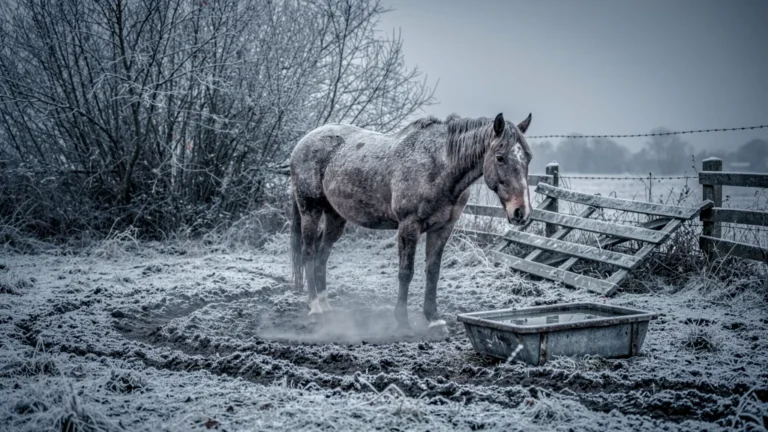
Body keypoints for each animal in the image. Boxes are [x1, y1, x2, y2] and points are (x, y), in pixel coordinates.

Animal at [289, 112, 533, 332]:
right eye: (500, 157)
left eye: (528, 158)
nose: (520, 212)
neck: (439, 167)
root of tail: (302, 143)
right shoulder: (409, 226)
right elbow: (406, 272)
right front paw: (402, 320)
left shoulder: (442, 229)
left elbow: (433, 272)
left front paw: (434, 318)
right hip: (310, 210)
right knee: (309, 252)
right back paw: (314, 307)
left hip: (335, 216)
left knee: (322, 255)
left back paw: (325, 305)